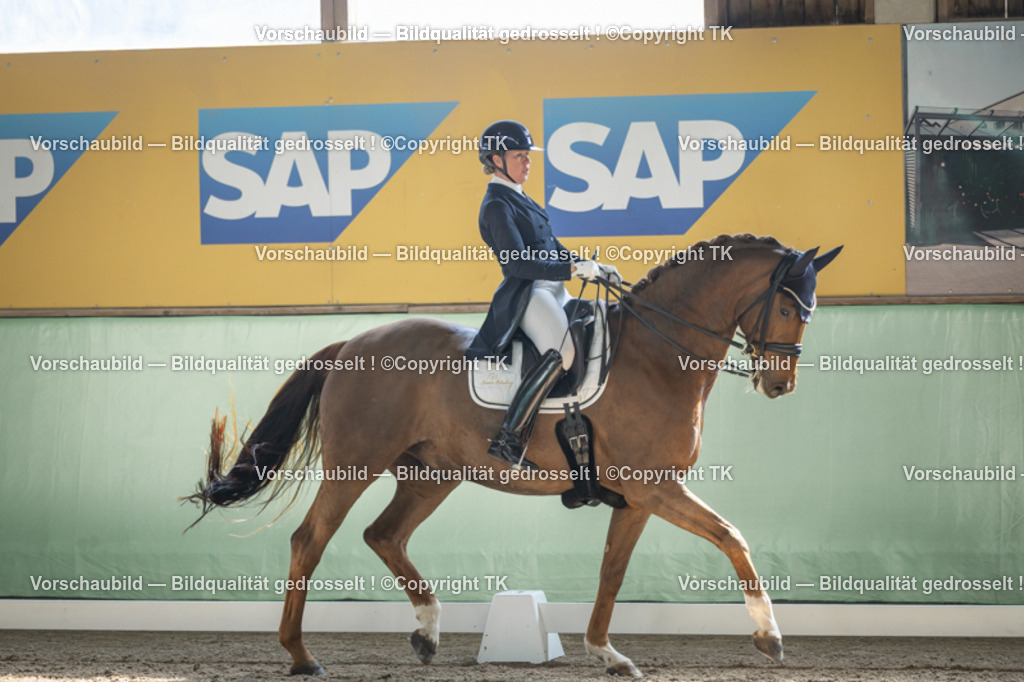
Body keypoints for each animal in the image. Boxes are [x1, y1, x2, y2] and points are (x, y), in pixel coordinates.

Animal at [184, 233, 841, 678]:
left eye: (809, 312)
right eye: (789, 307)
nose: (780, 384)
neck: (657, 357)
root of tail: (352, 343)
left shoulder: (637, 496)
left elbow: (612, 571)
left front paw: (606, 653)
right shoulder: (655, 487)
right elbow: (733, 537)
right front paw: (770, 638)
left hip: (432, 475)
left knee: (383, 535)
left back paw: (427, 633)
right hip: (355, 466)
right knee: (310, 540)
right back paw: (302, 655)